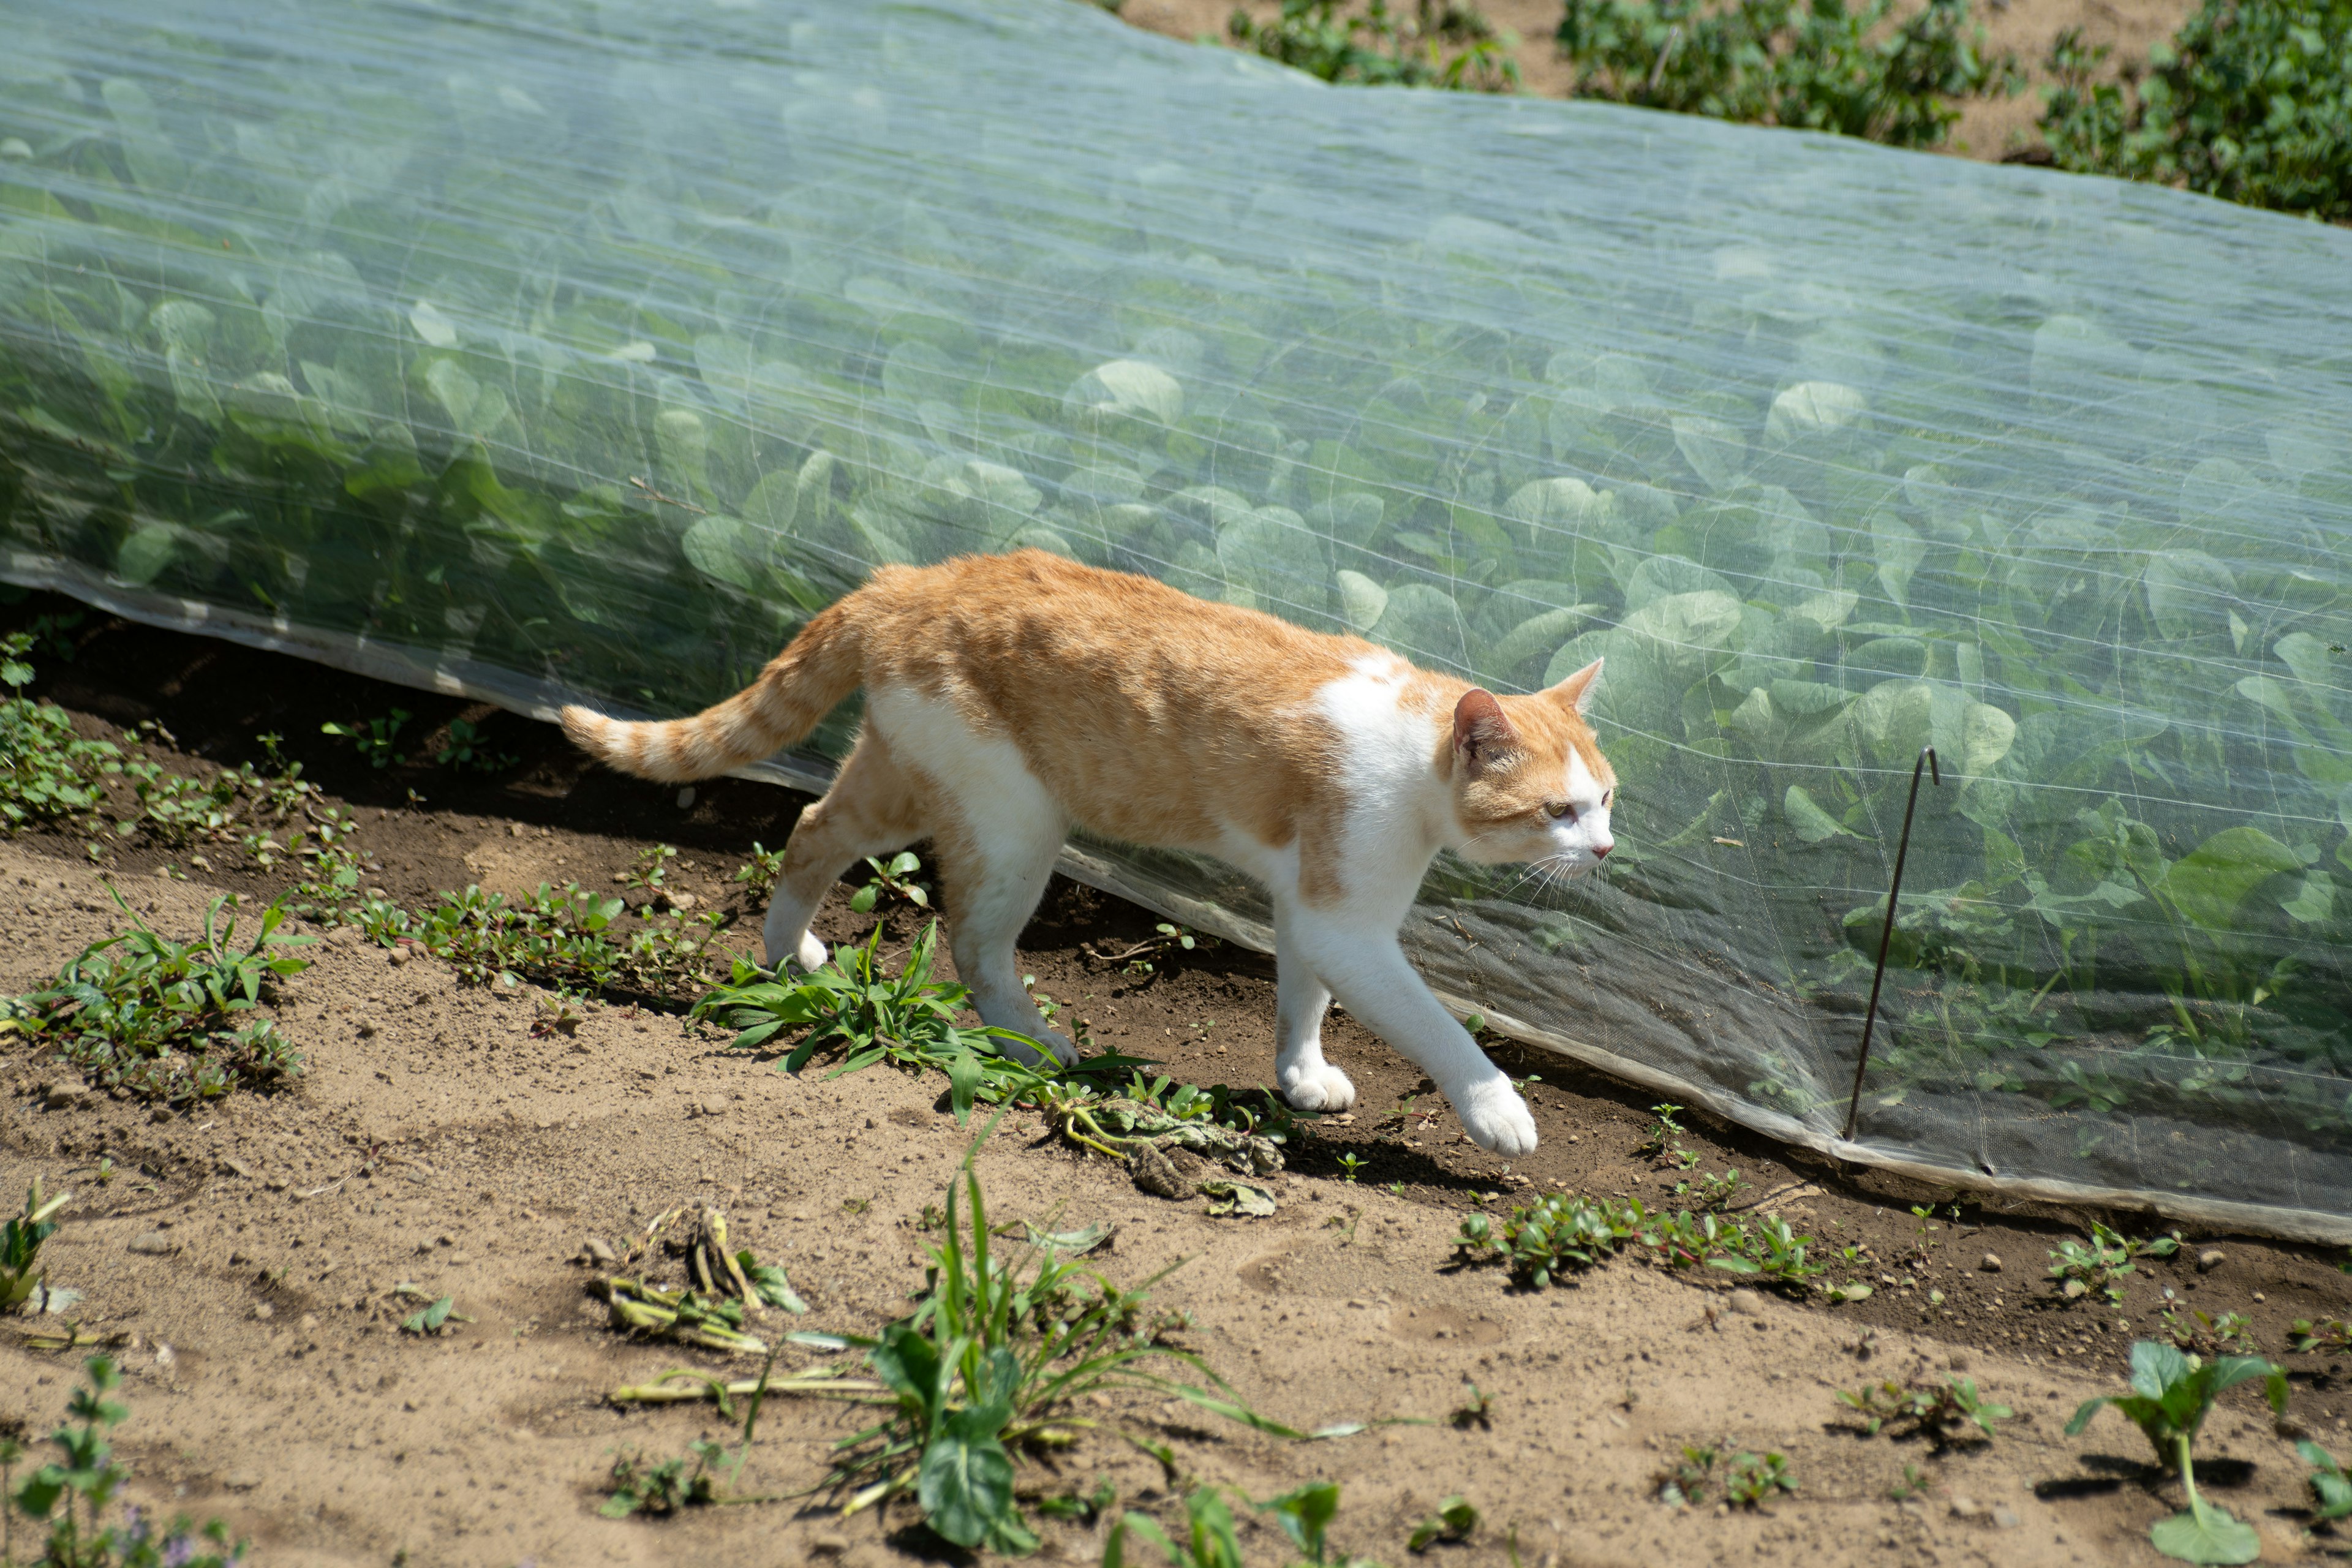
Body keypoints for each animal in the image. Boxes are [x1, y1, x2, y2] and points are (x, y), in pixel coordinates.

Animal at [559, 550, 1608, 1152]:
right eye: (1558, 811)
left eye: (1606, 801)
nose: (1602, 850)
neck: (1415, 748)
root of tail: (912, 579)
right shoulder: (1349, 922)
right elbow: (1437, 1028)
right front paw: (1497, 1112)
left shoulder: (1312, 905)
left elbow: (1303, 997)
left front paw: (1302, 1078)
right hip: (1014, 824)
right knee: (973, 945)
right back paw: (1032, 1040)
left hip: (900, 778)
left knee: (811, 828)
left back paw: (791, 954)